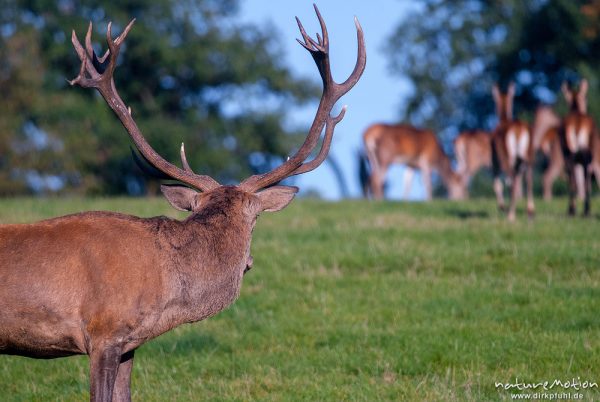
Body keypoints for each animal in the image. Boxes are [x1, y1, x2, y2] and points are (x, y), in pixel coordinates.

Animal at [492, 82, 536, 220]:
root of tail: (519, 129)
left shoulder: (494, 159)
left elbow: (497, 183)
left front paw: (502, 206)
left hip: (508, 157)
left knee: (511, 180)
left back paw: (510, 215)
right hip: (528, 155)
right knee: (528, 179)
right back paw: (530, 211)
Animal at [560, 79, 596, 217]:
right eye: (585, 98)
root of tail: (577, 125)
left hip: (571, 154)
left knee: (576, 180)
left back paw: (576, 210)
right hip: (581, 154)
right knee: (580, 180)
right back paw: (581, 210)